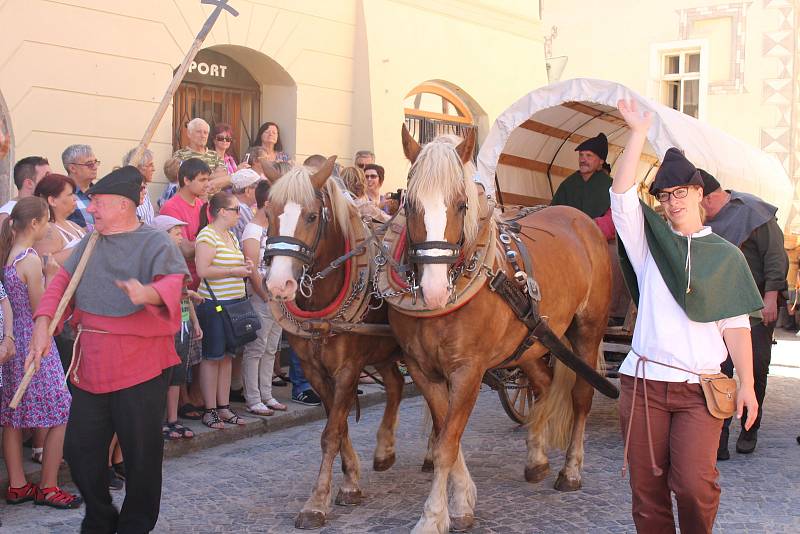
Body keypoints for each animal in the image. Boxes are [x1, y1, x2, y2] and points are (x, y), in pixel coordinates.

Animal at [266, 157, 406, 528]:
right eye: (268, 211)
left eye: (312, 216)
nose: (279, 284)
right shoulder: (314, 369)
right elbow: (338, 425)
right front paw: (350, 483)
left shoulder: (348, 368)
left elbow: (331, 432)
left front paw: (315, 503)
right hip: (386, 351)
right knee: (397, 385)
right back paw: (386, 452)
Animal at [388, 127, 612, 532]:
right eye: (409, 204)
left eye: (461, 204)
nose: (433, 290)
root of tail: (581, 219)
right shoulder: (421, 368)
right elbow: (445, 434)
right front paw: (461, 501)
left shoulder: (468, 370)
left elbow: (447, 443)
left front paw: (433, 515)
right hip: (532, 342)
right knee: (542, 386)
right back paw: (537, 458)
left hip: (586, 332)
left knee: (581, 397)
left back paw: (571, 470)